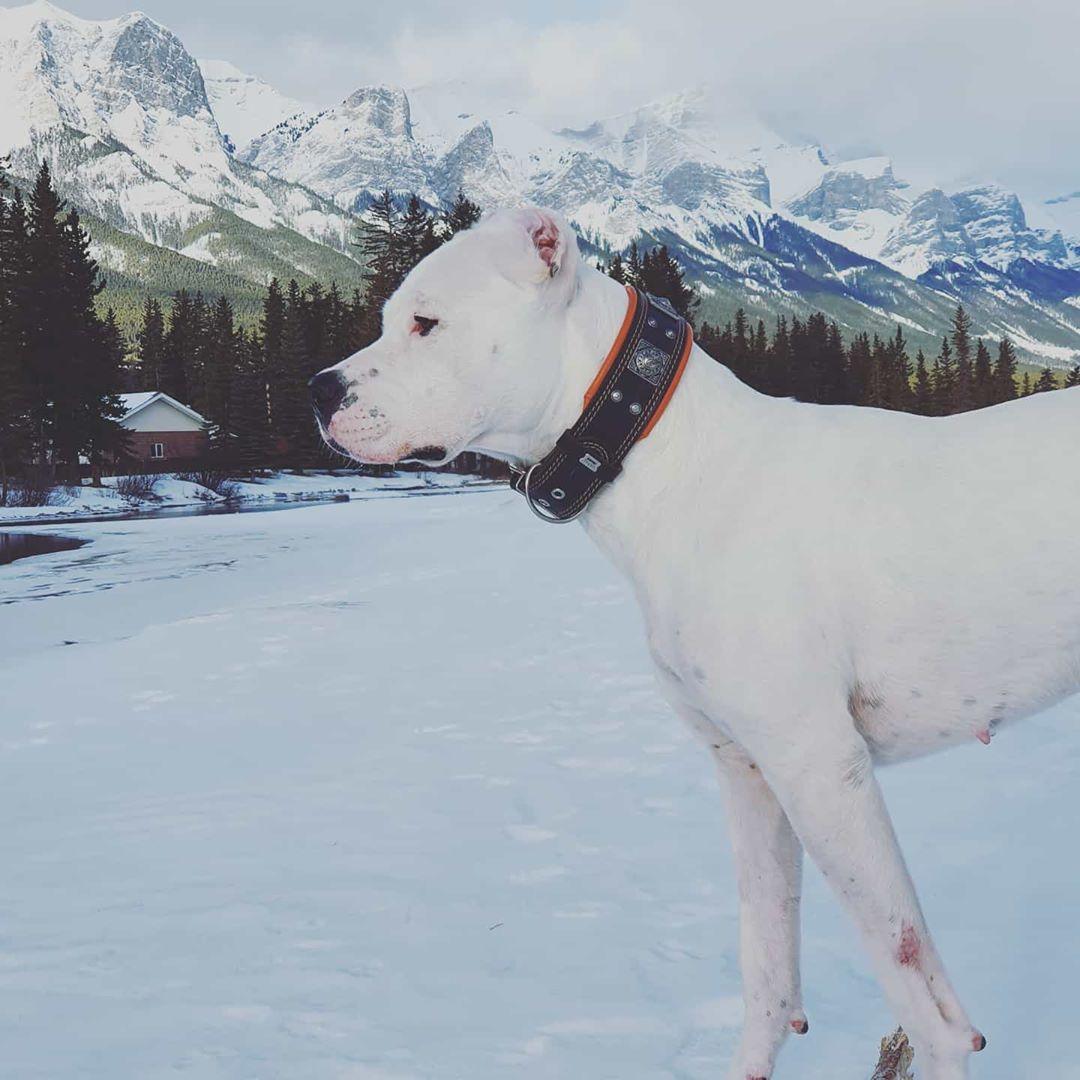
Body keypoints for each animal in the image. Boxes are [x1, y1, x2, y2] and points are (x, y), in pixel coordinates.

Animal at [308, 206, 1080, 1075]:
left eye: (427, 322)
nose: (318, 390)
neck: (662, 461)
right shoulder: (749, 772)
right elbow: (767, 971)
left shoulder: (821, 769)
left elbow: (920, 996)